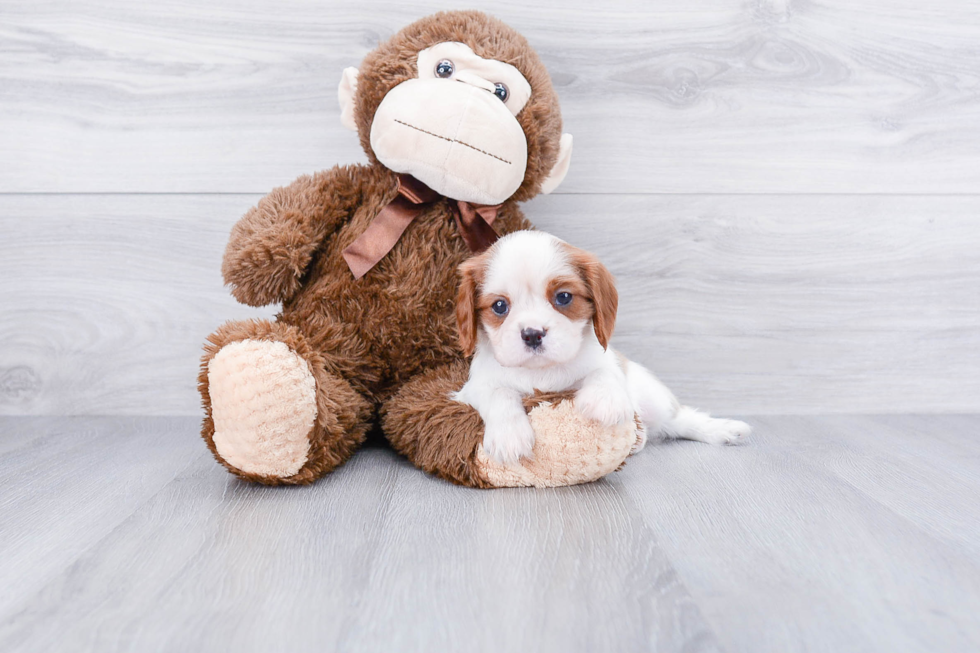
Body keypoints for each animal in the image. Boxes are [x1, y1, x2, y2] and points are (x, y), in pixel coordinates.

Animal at [454, 229, 752, 464]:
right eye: (499, 306)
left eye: (563, 297)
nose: (532, 334)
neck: (543, 370)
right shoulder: (472, 389)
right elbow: (499, 393)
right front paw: (509, 436)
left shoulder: (606, 359)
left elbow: (605, 370)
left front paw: (605, 401)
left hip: (652, 397)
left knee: (679, 419)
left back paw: (723, 429)